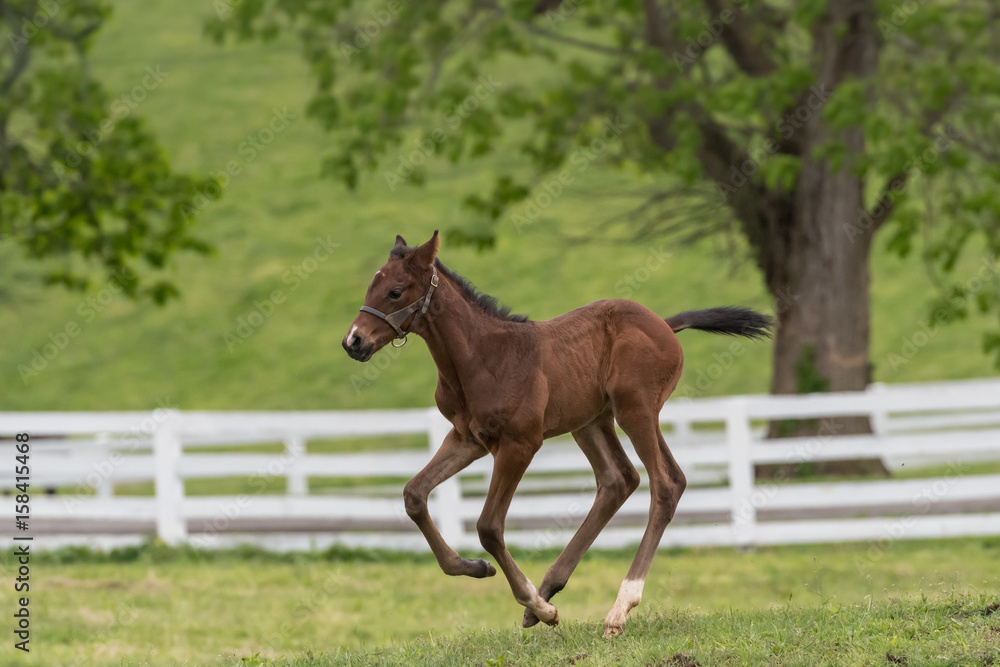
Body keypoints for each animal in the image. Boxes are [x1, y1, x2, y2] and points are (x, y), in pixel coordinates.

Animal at [343, 231, 773, 637]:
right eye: (370, 287)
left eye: (395, 291)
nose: (354, 341)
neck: (480, 357)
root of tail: (665, 325)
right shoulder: (467, 438)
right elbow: (414, 494)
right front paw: (476, 568)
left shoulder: (520, 443)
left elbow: (488, 526)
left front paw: (538, 605)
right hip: (591, 421)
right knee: (619, 480)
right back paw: (551, 589)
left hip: (635, 409)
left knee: (666, 483)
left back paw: (616, 609)